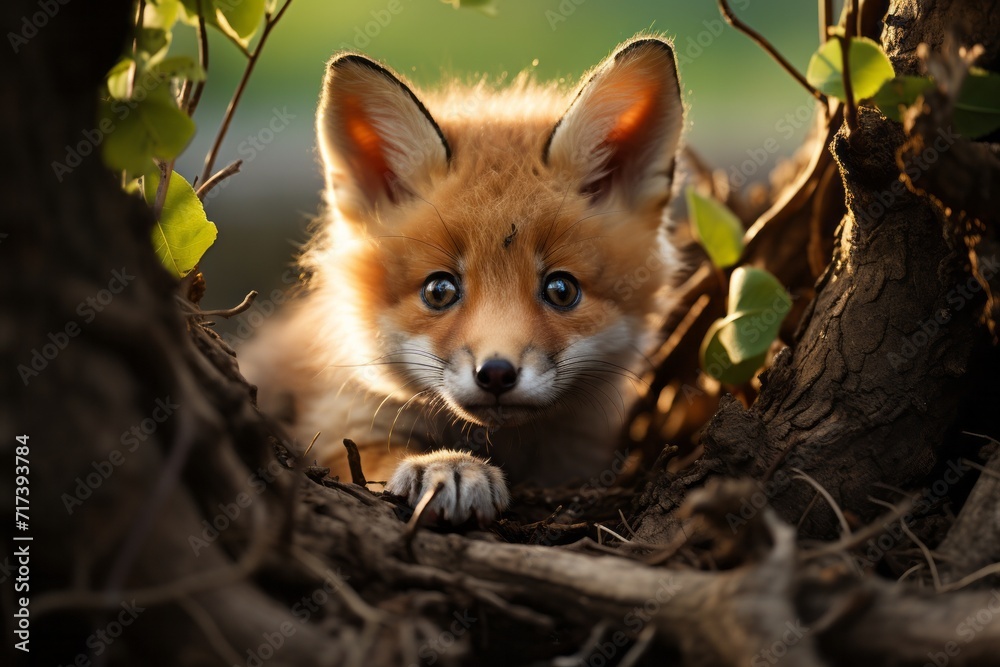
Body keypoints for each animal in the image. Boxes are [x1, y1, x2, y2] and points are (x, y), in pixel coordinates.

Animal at [238, 36, 686, 525]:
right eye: (440, 291)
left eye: (561, 290)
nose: (496, 373)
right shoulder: (343, 422)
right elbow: (376, 458)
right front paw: (446, 466)